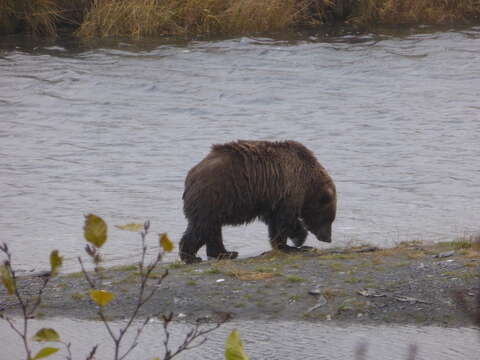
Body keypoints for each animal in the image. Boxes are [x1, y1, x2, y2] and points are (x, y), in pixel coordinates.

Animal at [179, 139, 338, 262]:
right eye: (329, 218)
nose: (328, 238)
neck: (309, 184)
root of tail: (190, 176)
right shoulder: (289, 188)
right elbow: (286, 219)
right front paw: (298, 240)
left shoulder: (273, 198)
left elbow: (275, 223)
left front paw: (282, 245)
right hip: (214, 195)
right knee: (202, 227)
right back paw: (191, 257)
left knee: (212, 229)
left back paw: (226, 253)